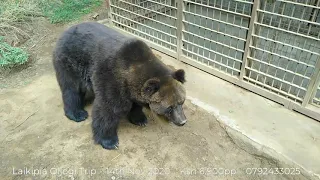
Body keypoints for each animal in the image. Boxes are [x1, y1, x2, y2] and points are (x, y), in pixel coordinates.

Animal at [52, 21, 188, 150]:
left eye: (181, 102)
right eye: (169, 107)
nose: (183, 121)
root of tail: (66, 31)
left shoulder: (133, 91)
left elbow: (136, 105)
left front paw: (140, 120)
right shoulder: (111, 80)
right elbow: (107, 109)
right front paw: (109, 141)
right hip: (70, 62)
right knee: (71, 89)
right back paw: (77, 114)